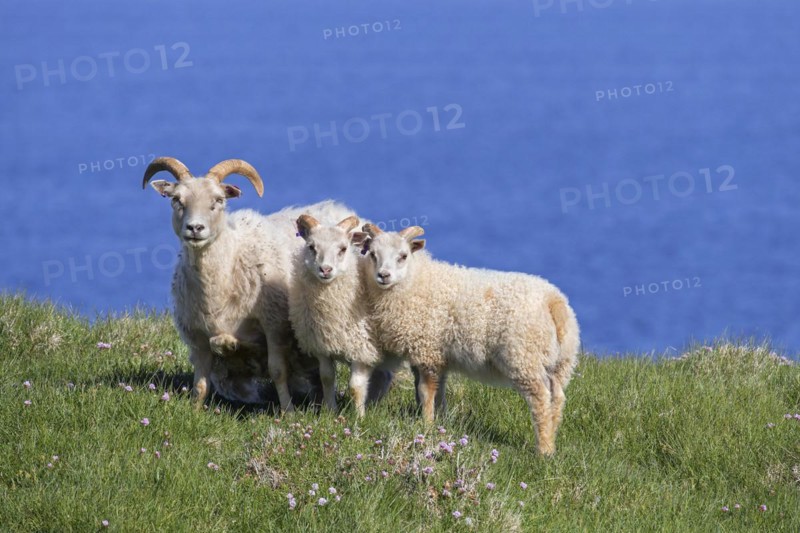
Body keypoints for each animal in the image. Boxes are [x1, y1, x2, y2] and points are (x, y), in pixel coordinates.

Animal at [142, 157, 354, 411]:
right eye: (176, 200)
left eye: (219, 200)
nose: (195, 228)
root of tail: (338, 206)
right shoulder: (197, 336)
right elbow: (200, 382)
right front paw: (193, 411)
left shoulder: (274, 325)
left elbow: (277, 371)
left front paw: (288, 411)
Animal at [288, 214, 401, 417]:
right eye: (311, 247)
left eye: (343, 248)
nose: (325, 270)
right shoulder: (322, 346)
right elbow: (326, 378)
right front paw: (331, 412)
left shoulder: (362, 348)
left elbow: (355, 386)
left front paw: (359, 417)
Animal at [360, 224, 580, 455]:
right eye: (373, 254)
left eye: (403, 256)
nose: (383, 275)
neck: (415, 280)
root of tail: (553, 302)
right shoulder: (437, 354)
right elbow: (439, 392)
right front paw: (440, 421)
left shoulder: (427, 349)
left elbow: (425, 391)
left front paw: (426, 424)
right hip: (561, 363)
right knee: (558, 398)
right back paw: (552, 437)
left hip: (525, 358)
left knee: (541, 400)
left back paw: (544, 450)